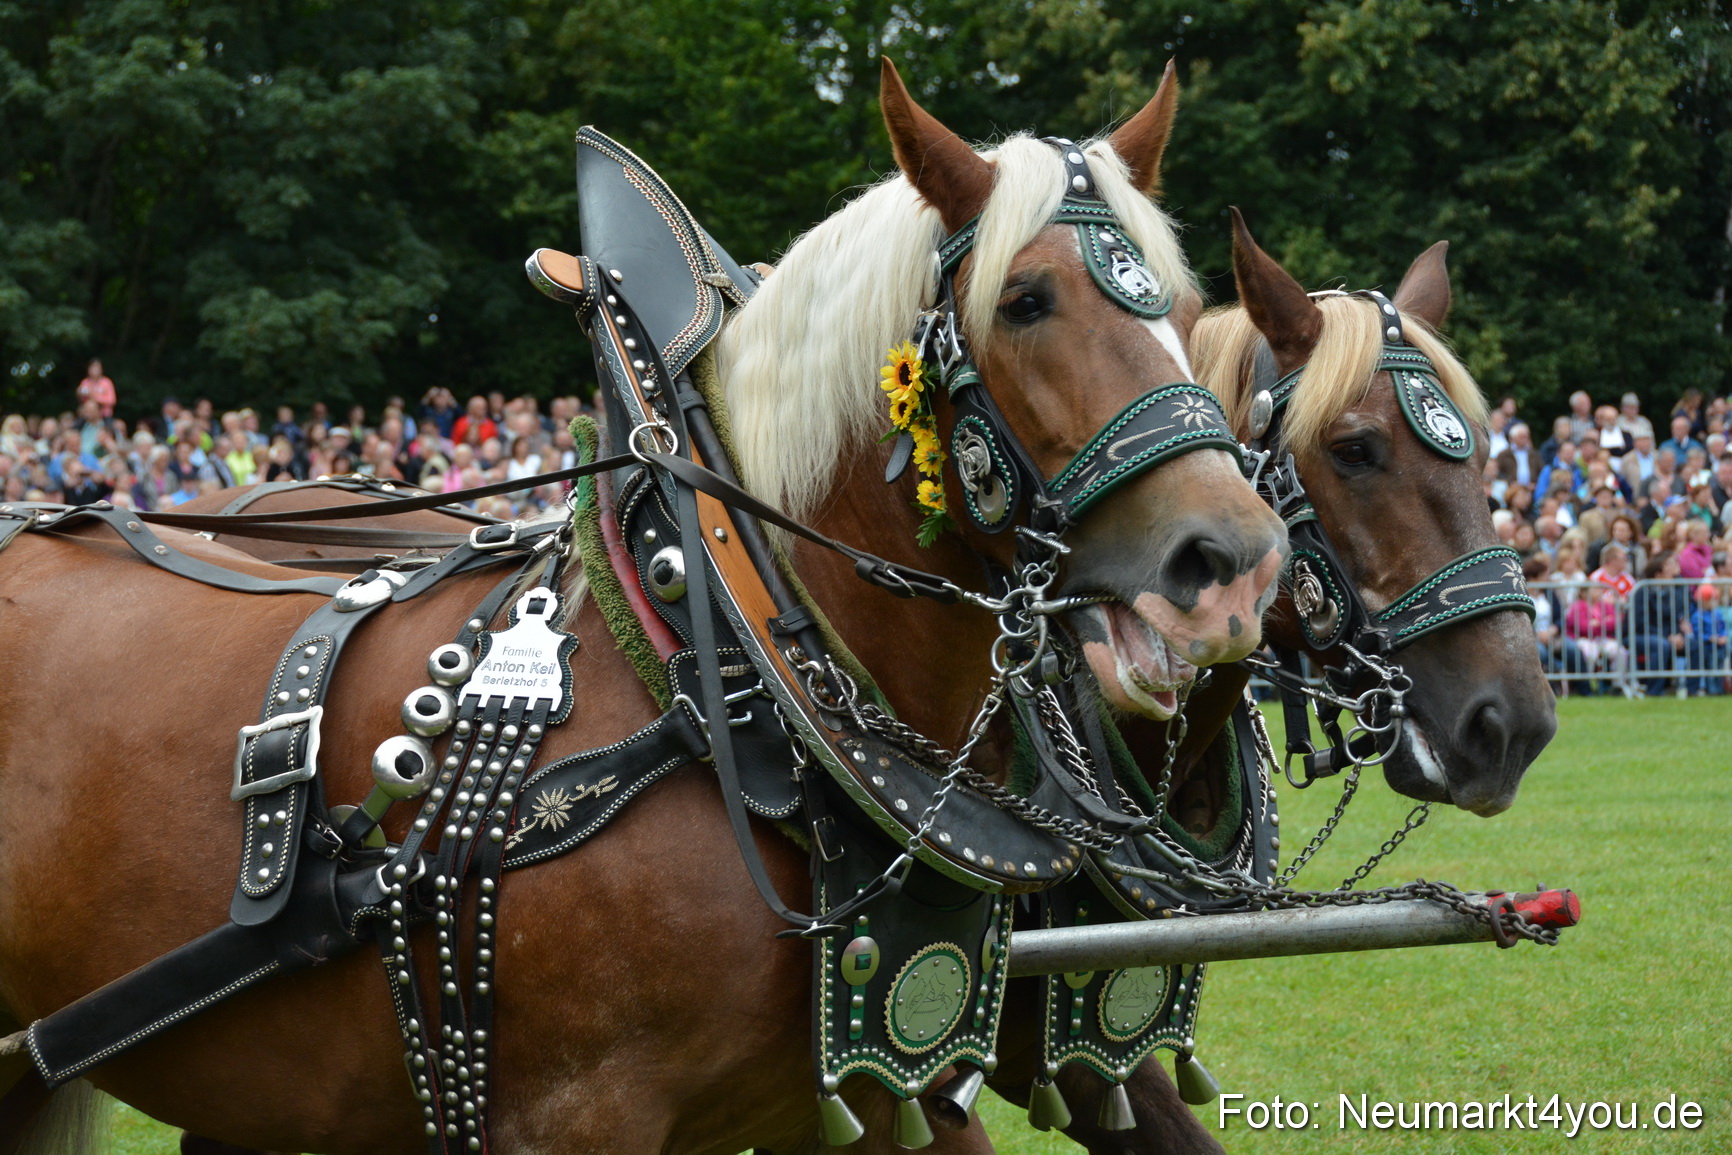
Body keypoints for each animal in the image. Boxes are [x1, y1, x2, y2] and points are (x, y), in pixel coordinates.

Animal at [0, 60, 1286, 1154]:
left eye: (1178, 305)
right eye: (1023, 299)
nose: (1230, 563)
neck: (736, 670)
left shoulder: (872, 1091)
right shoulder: (575, 1118)